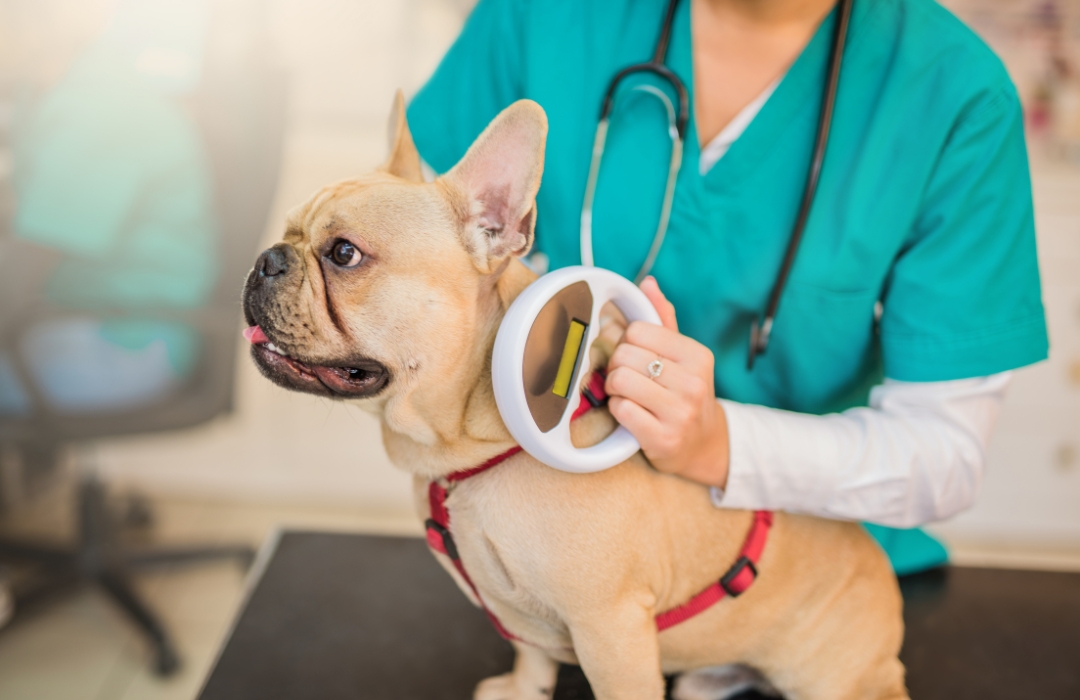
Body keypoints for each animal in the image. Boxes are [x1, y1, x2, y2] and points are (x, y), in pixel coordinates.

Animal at [240, 94, 907, 700]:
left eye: (344, 254)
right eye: (287, 231)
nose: (265, 259)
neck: (468, 449)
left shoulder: (611, 630)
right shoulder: (522, 614)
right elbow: (531, 654)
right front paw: (522, 690)